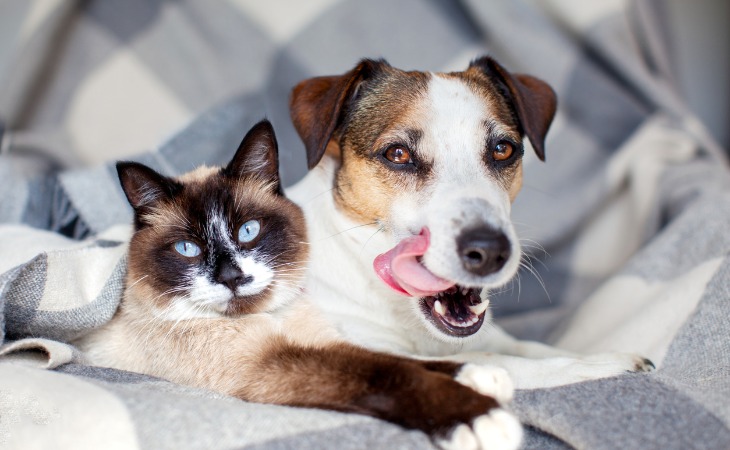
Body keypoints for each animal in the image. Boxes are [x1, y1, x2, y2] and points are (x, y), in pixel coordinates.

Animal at [72, 119, 516, 450]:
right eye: (188, 249)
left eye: (248, 231)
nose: (232, 278)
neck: (272, 315)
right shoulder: (270, 367)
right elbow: (387, 373)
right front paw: (480, 417)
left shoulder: (326, 342)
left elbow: (403, 360)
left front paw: (479, 375)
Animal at [282, 55, 648, 386]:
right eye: (397, 154)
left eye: (503, 149)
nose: (489, 251)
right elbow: (494, 360)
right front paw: (597, 365)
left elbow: (521, 347)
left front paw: (582, 355)